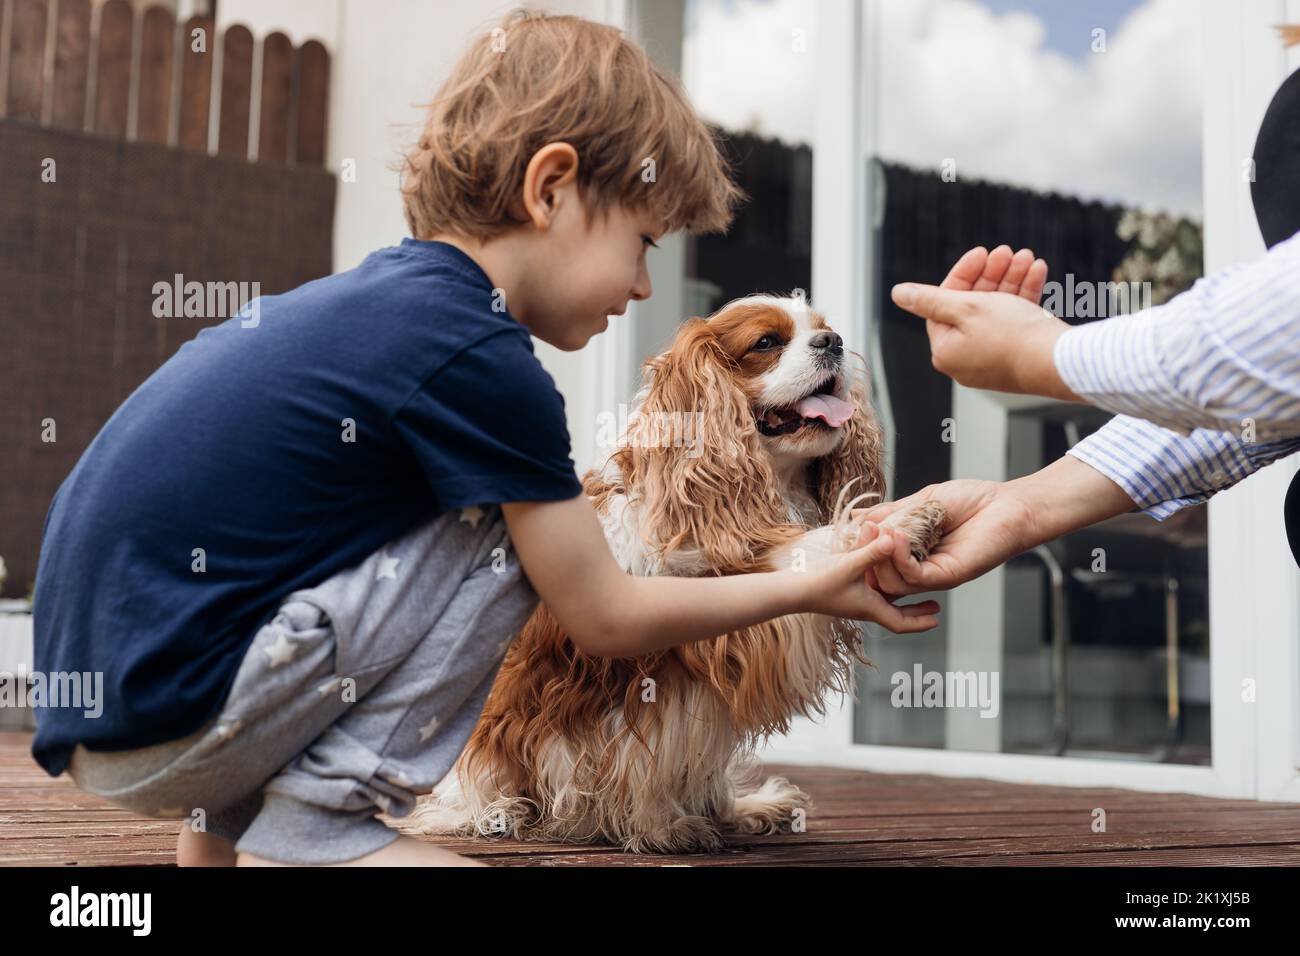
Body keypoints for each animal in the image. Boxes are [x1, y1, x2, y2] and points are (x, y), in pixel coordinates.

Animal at [395, 291, 946, 853]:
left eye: (824, 328)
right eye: (766, 342)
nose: (832, 342)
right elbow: (803, 551)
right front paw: (890, 526)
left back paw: (739, 807)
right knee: (464, 791)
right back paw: (498, 811)